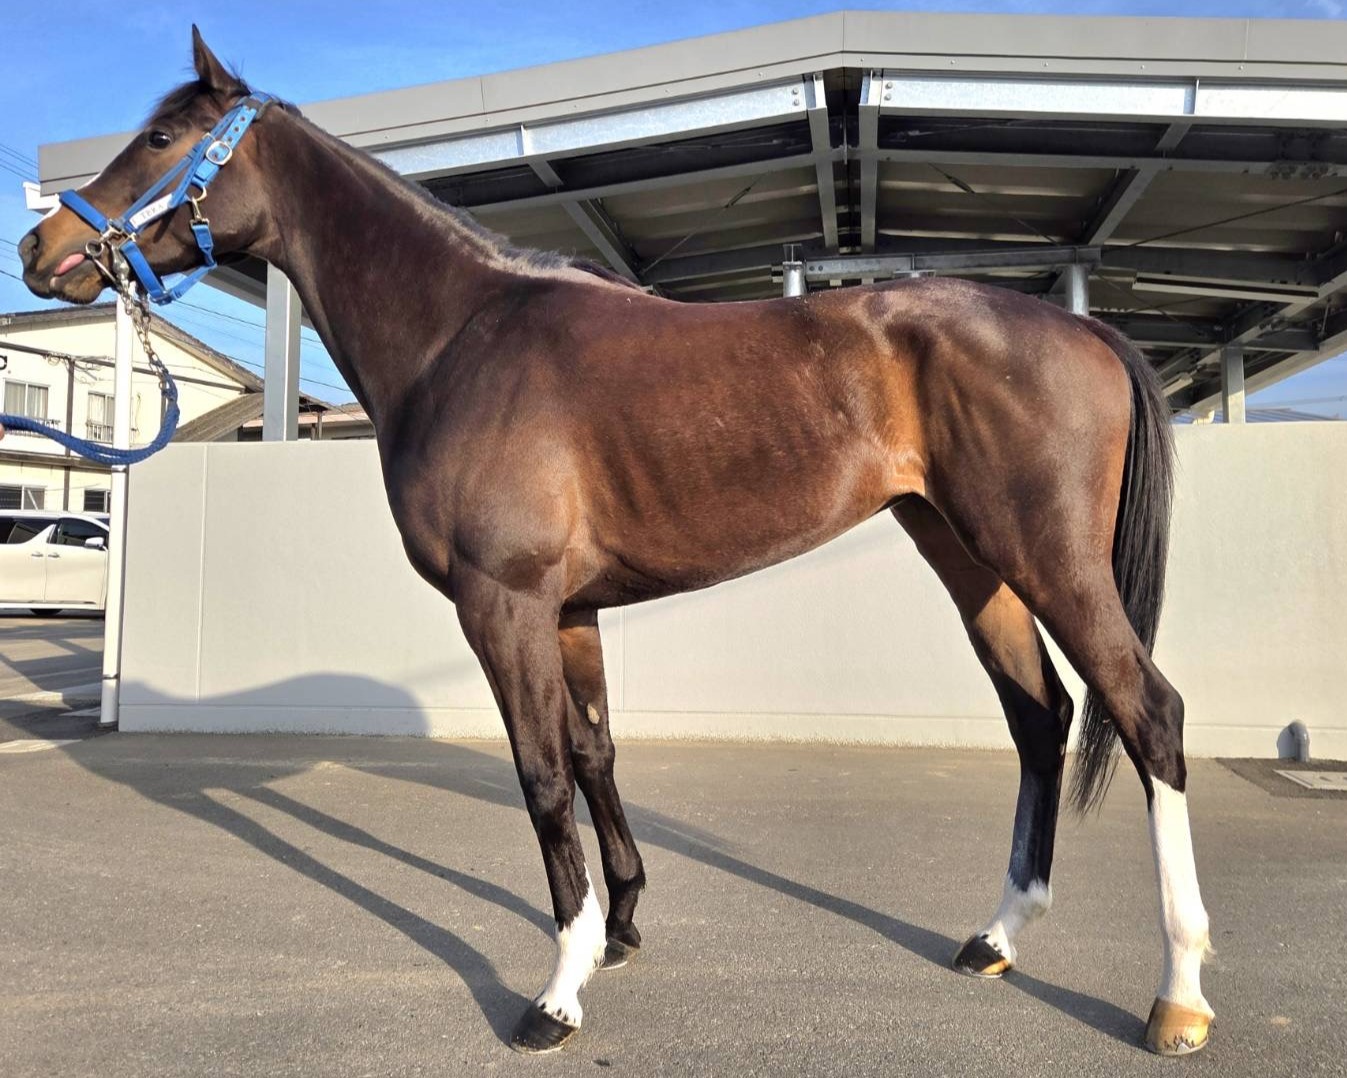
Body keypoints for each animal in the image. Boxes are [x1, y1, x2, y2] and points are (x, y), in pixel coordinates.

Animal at [17, 29, 1213, 1057]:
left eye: (161, 139)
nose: (41, 246)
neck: (461, 336)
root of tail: (1083, 327)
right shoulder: (572, 612)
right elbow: (595, 753)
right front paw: (621, 926)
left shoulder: (502, 605)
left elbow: (543, 777)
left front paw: (556, 991)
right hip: (970, 557)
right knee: (1040, 717)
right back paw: (997, 937)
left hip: (1046, 557)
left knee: (1148, 711)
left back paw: (1179, 996)